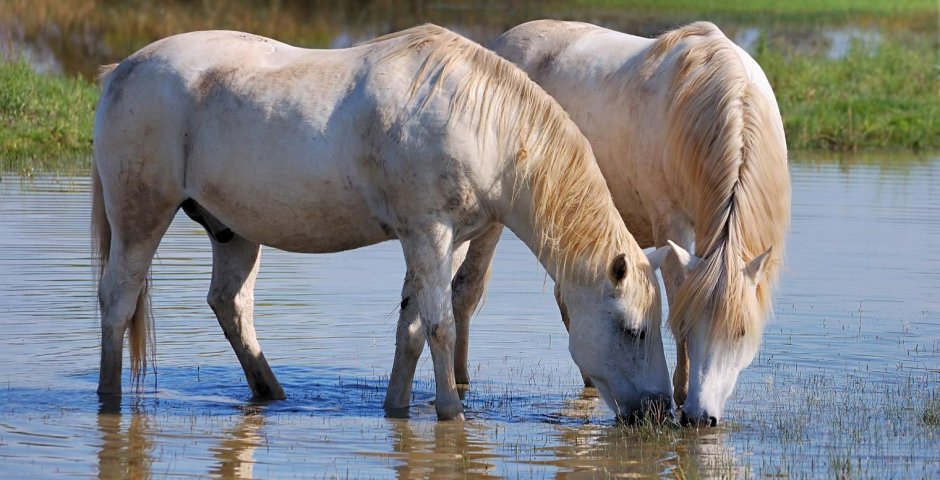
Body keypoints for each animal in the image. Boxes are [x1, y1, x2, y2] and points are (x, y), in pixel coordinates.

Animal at [91, 24, 674, 421]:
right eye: (634, 330)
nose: (657, 411)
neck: (482, 124)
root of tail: (120, 71)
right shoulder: (429, 233)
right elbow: (439, 325)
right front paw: (451, 413)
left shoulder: (443, 241)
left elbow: (411, 327)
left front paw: (397, 408)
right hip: (141, 216)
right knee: (118, 302)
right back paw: (110, 399)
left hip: (233, 231)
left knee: (230, 305)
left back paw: (272, 394)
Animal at [440, 21, 790, 426]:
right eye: (688, 326)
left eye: (742, 333)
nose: (700, 418)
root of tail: (499, 44)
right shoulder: (673, 227)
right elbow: (677, 296)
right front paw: (682, 392)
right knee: (466, 289)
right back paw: (461, 381)